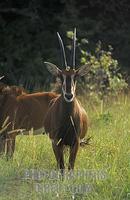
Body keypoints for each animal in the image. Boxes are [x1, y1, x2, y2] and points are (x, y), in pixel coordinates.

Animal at [43, 28, 90, 172]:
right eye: (60, 76)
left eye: (76, 76)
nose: (69, 95)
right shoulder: (56, 142)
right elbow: (62, 166)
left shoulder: (75, 143)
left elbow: (70, 166)